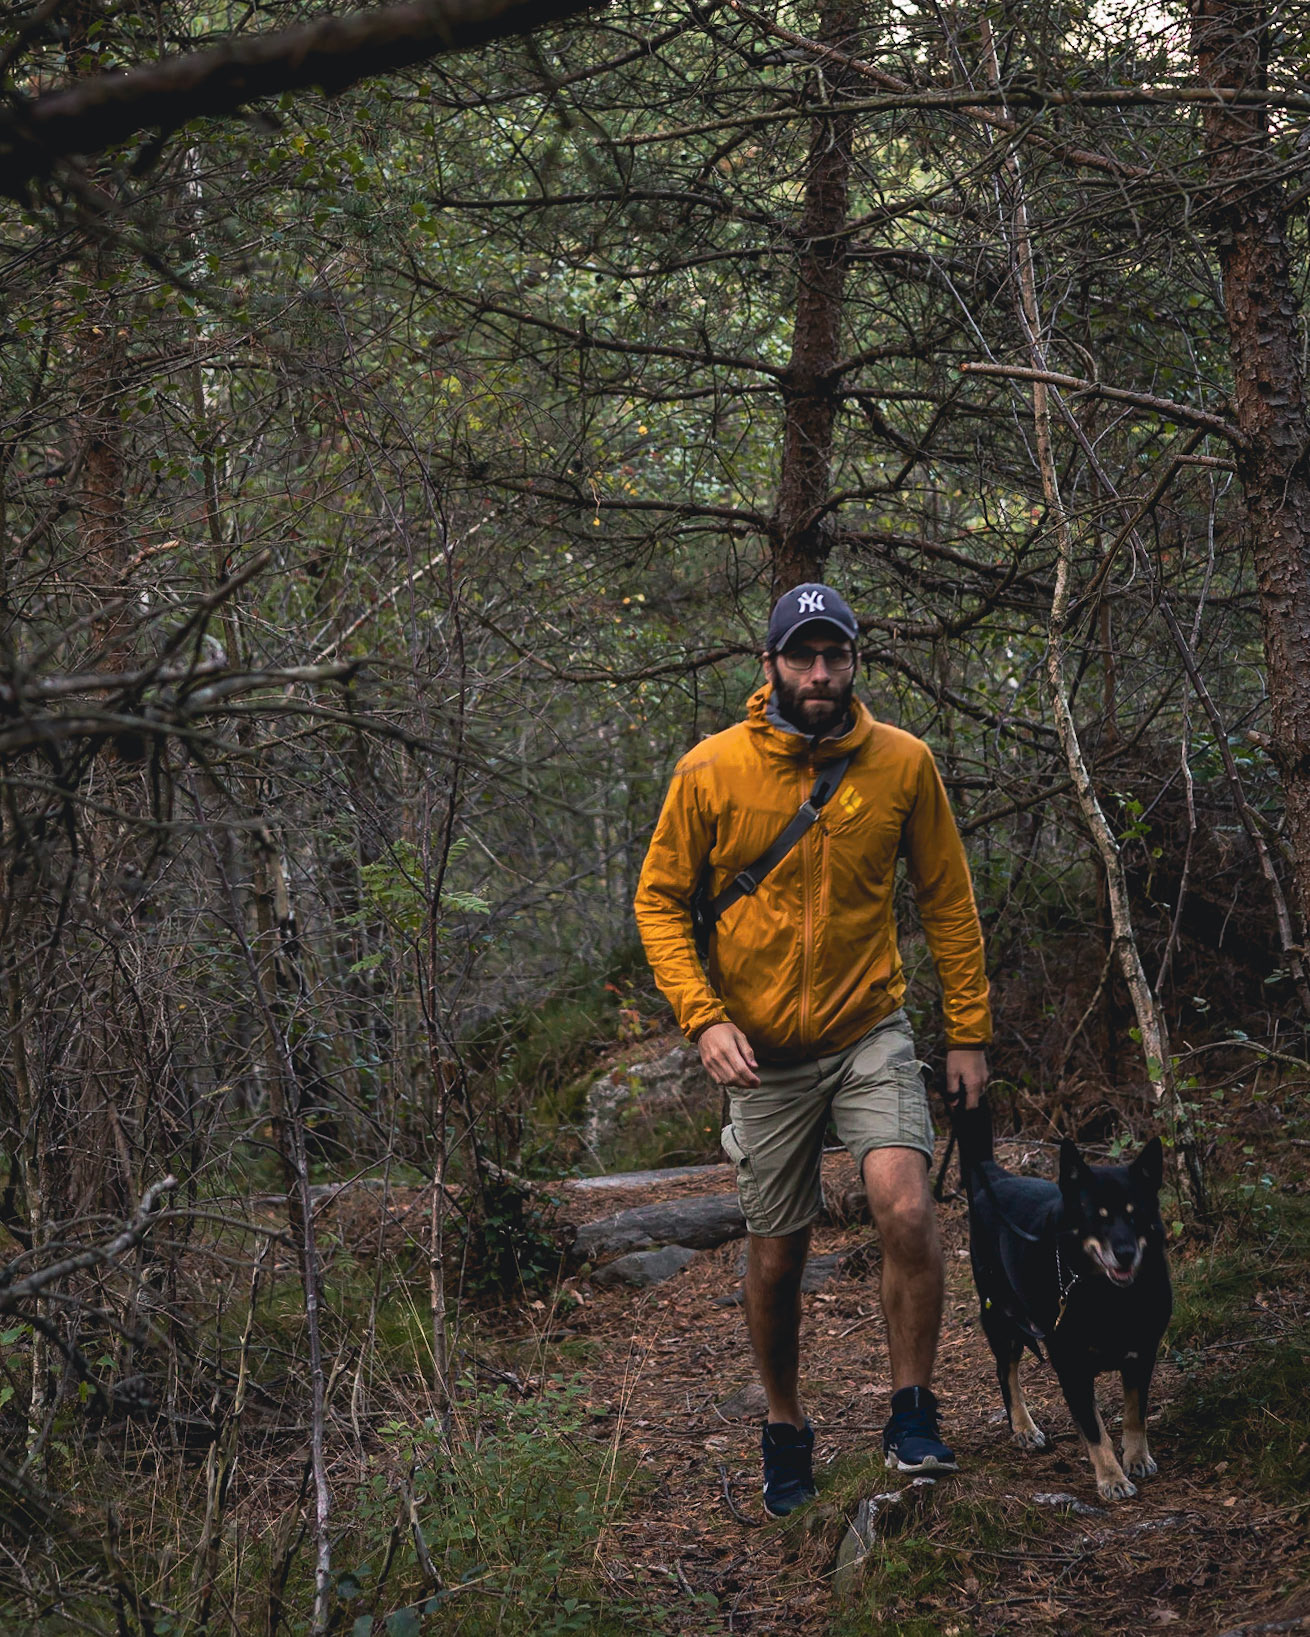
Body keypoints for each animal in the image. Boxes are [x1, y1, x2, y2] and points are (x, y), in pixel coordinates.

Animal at [953, 1099, 1172, 1501]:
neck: (1106, 1295)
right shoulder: (1072, 1366)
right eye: (1098, 1217)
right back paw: (1023, 1427)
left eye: (1135, 1215)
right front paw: (1112, 1478)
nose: (1125, 1254)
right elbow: (1095, 1430)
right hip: (999, 1315)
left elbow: (1135, 1414)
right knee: (1006, 1373)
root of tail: (994, 1174)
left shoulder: (1141, 1356)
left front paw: (1136, 1458)